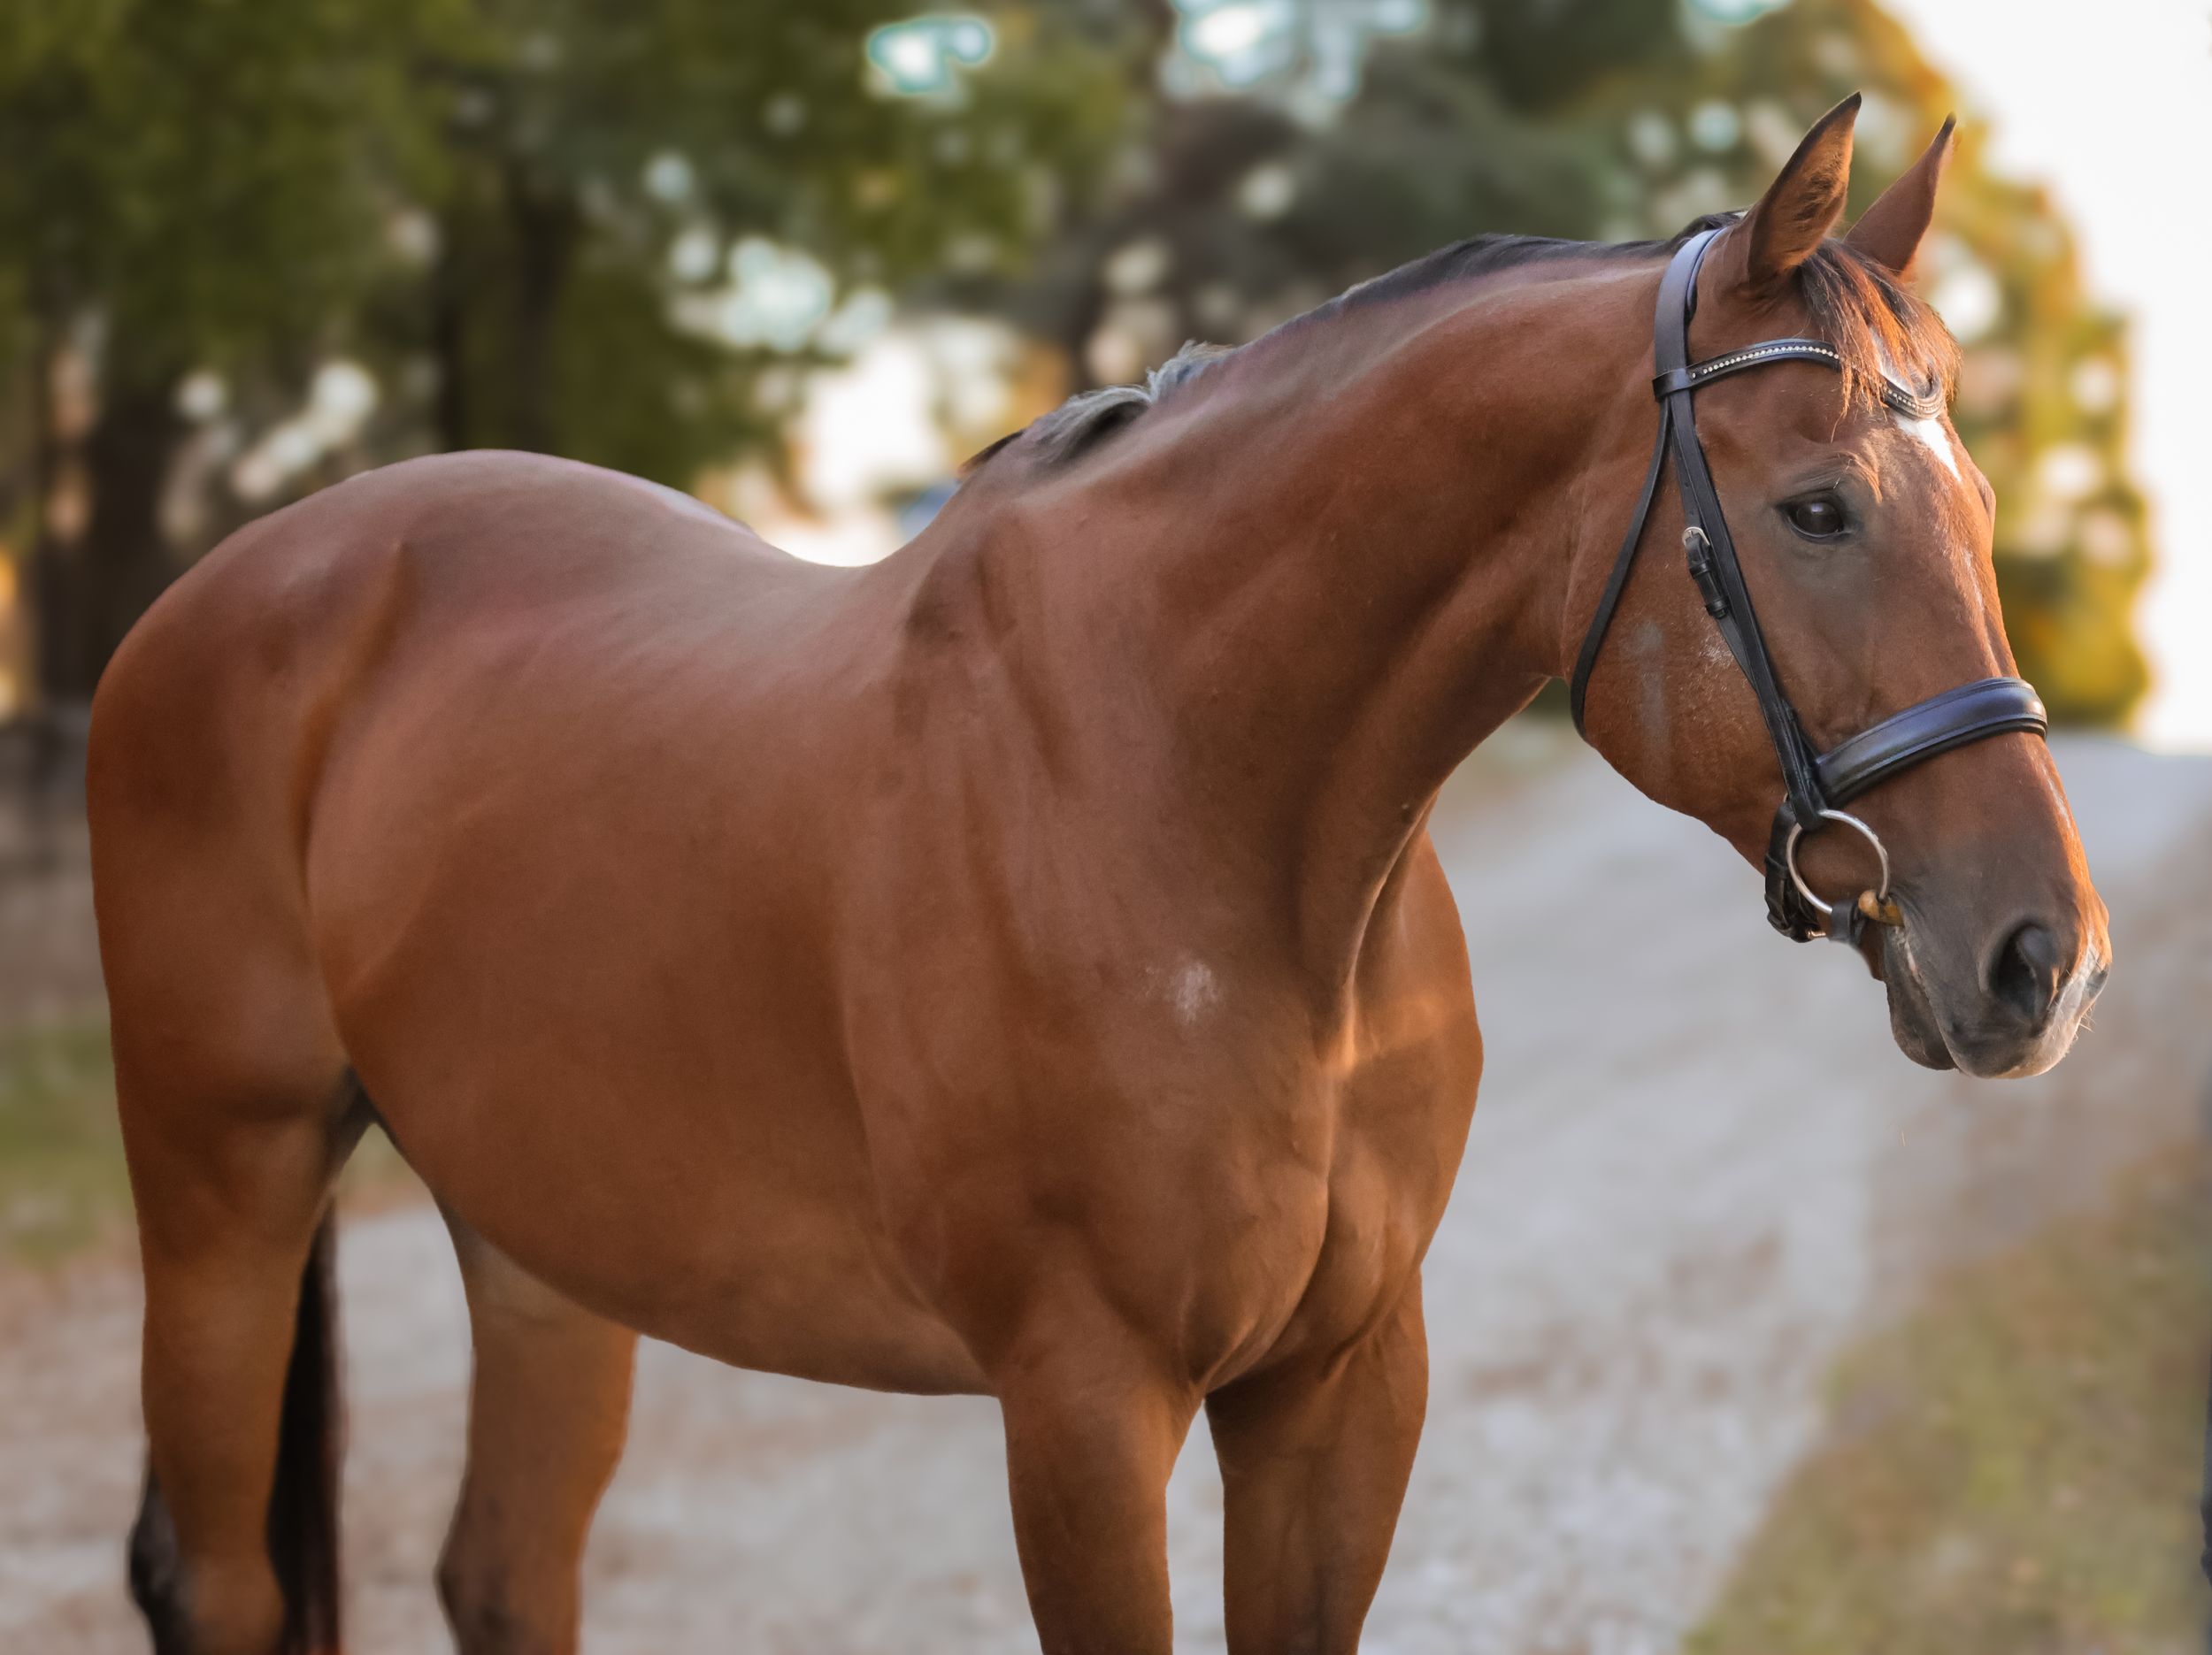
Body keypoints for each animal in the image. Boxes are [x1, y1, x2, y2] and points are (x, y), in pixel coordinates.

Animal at [88, 95, 2107, 1654]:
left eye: (1978, 507)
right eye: (1816, 509)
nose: (2045, 960)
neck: (1199, 804)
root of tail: (226, 588)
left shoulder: (1340, 1384)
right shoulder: (1081, 1401)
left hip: (540, 1240)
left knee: (502, 1575)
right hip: (223, 1185)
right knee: (224, 1584)